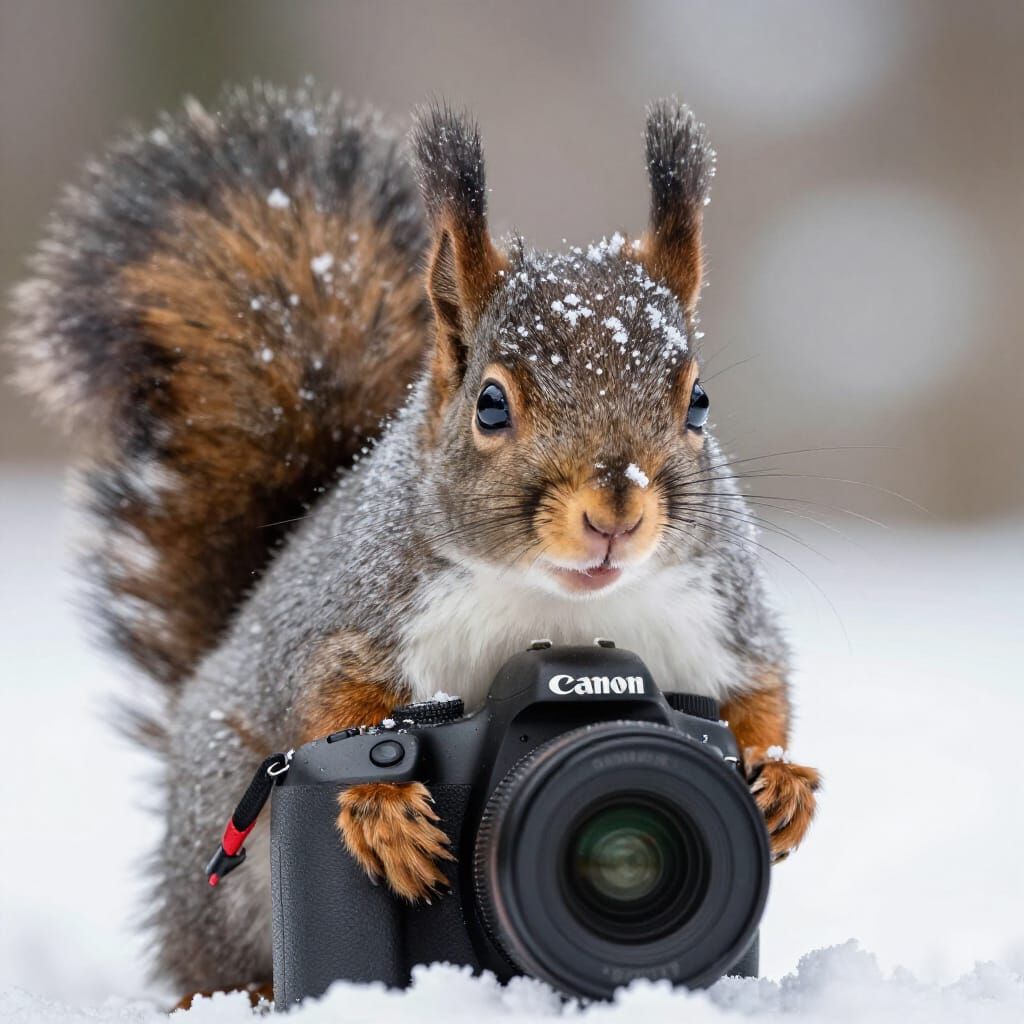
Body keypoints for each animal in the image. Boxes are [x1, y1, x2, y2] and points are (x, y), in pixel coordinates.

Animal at [9, 82, 819, 1000]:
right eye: (491, 405)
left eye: (699, 402)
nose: (615, 513)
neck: (563, 609)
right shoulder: (360, 611)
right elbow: (333, 698)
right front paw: (383, 810)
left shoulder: (721, 611)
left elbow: (762, 690)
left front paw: (782, 781)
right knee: (205, 953)